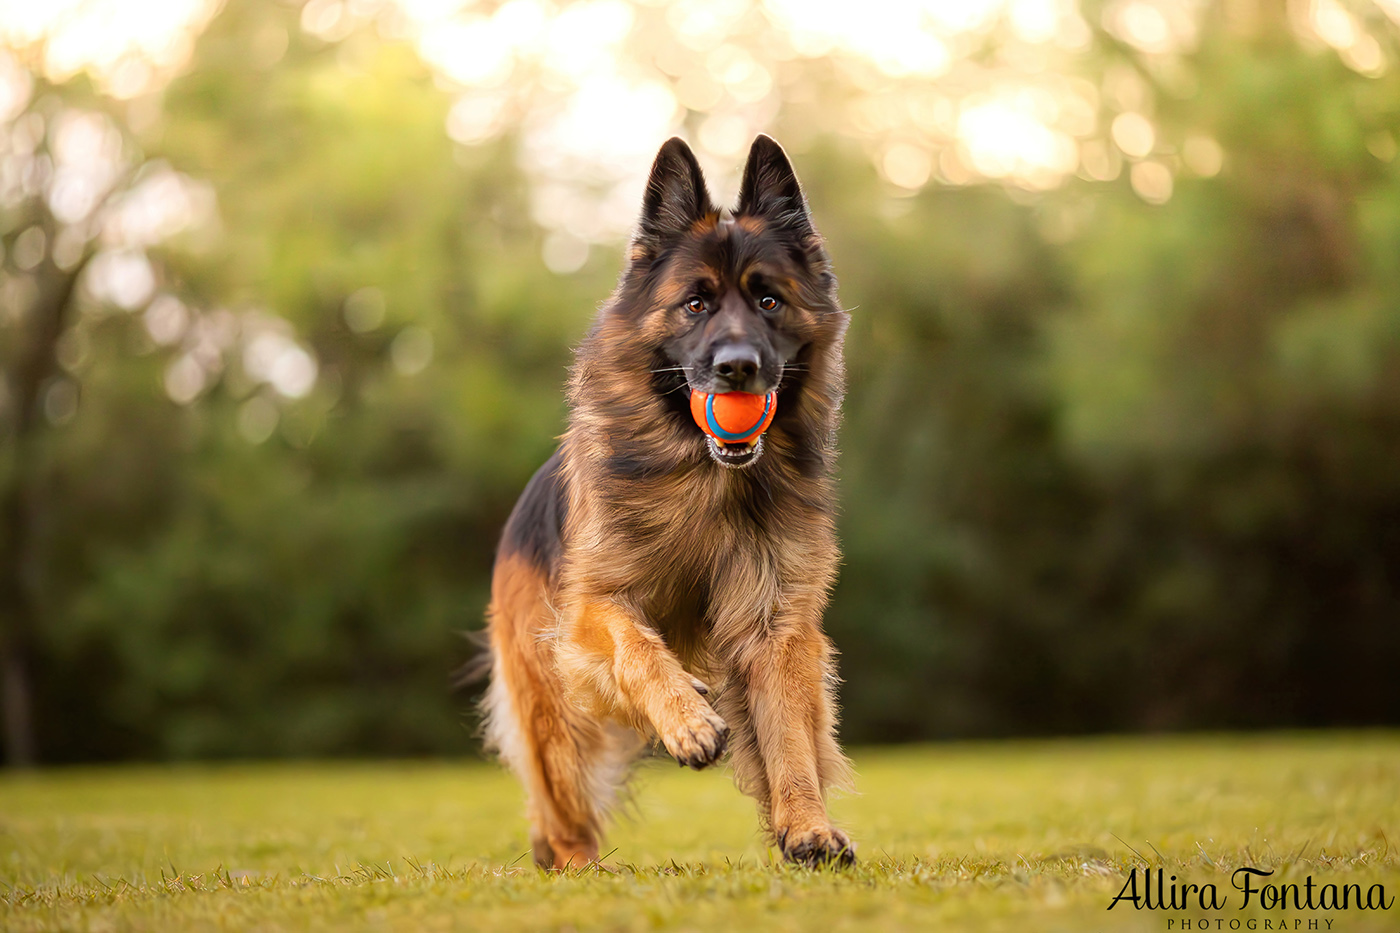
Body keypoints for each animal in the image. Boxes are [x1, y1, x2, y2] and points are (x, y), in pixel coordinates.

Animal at [478, 134, 851, 868]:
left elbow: (790, 734)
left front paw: (806, 825)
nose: (738, 368)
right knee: (564, 818)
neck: (707, 481)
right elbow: (636, 644)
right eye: (696, 304)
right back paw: (580, 868)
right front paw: (688, 721)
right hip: (554, 713)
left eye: (769, 301)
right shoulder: (588, 609)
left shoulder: (774, 624)